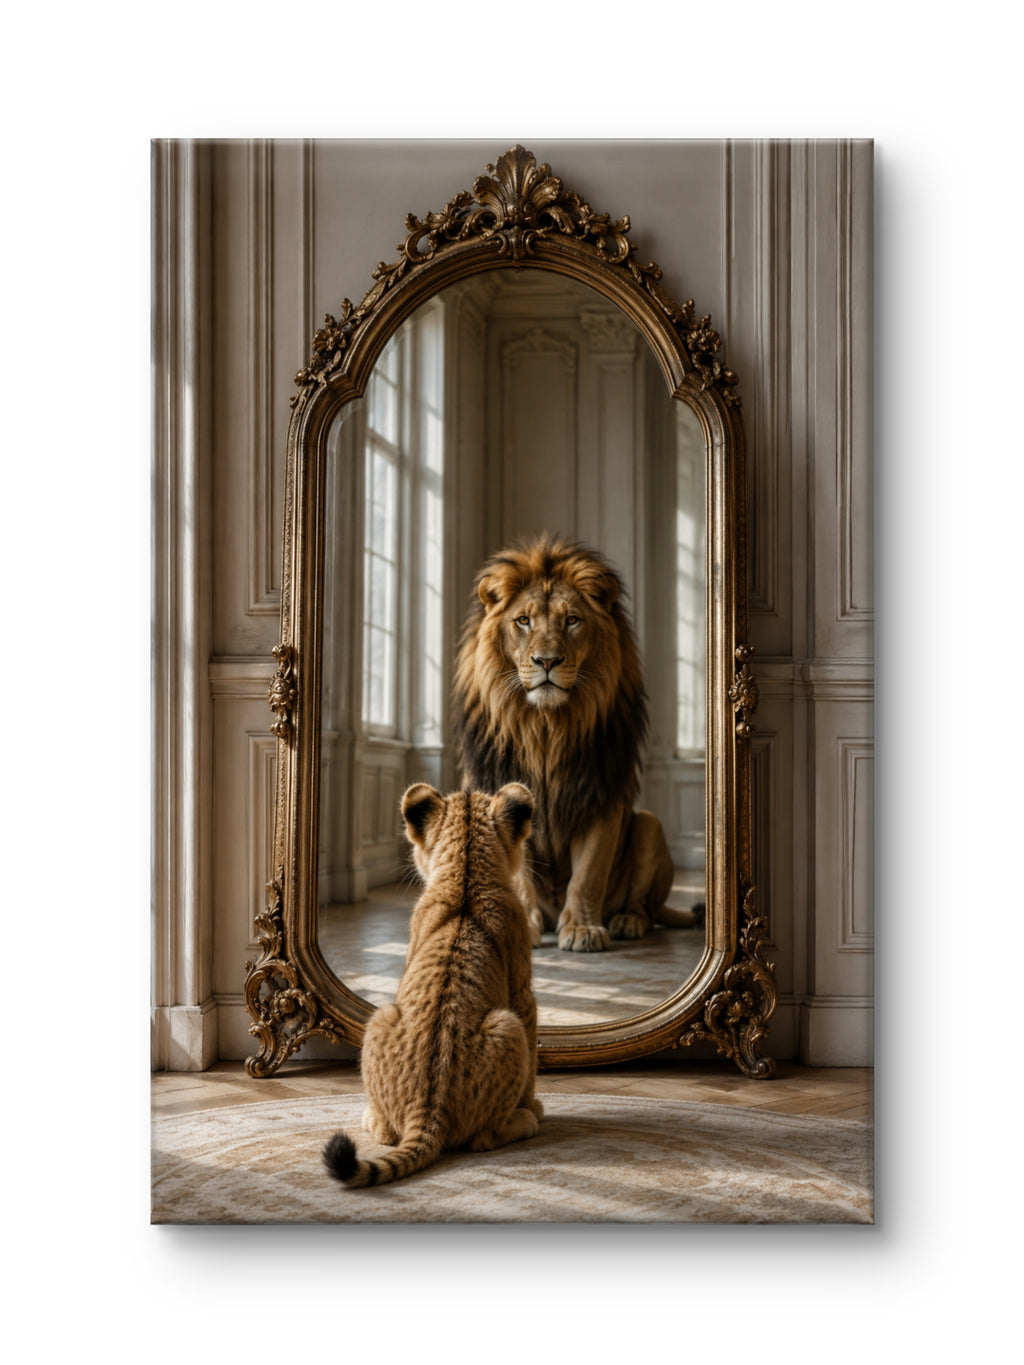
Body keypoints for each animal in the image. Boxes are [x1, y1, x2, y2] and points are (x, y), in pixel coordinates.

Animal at [452, 533, 699, 952]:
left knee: (646, 908)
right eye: (523, 621)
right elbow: (519, 876)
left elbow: (589, 874)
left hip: (648, 824)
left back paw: (626, 921)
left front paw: (583, 929)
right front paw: (523, 926)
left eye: (572, 620)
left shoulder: (601, 796)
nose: (547, 661)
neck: (546, 728)